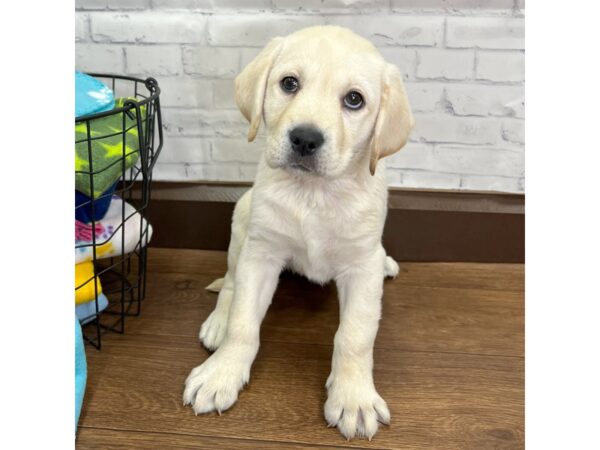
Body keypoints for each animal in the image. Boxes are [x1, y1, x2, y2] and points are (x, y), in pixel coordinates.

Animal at [185, 25, 414, 440]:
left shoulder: (361, 266)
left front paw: (353, 397)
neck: (314, 194)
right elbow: (244, 322)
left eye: (354, 100)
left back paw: (387, 261)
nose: (305, 139)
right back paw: (218, 322)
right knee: (230, 283)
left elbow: (355, 335)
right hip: (242, 221)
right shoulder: (261, 254)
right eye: (289, 83)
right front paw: (222, 372)